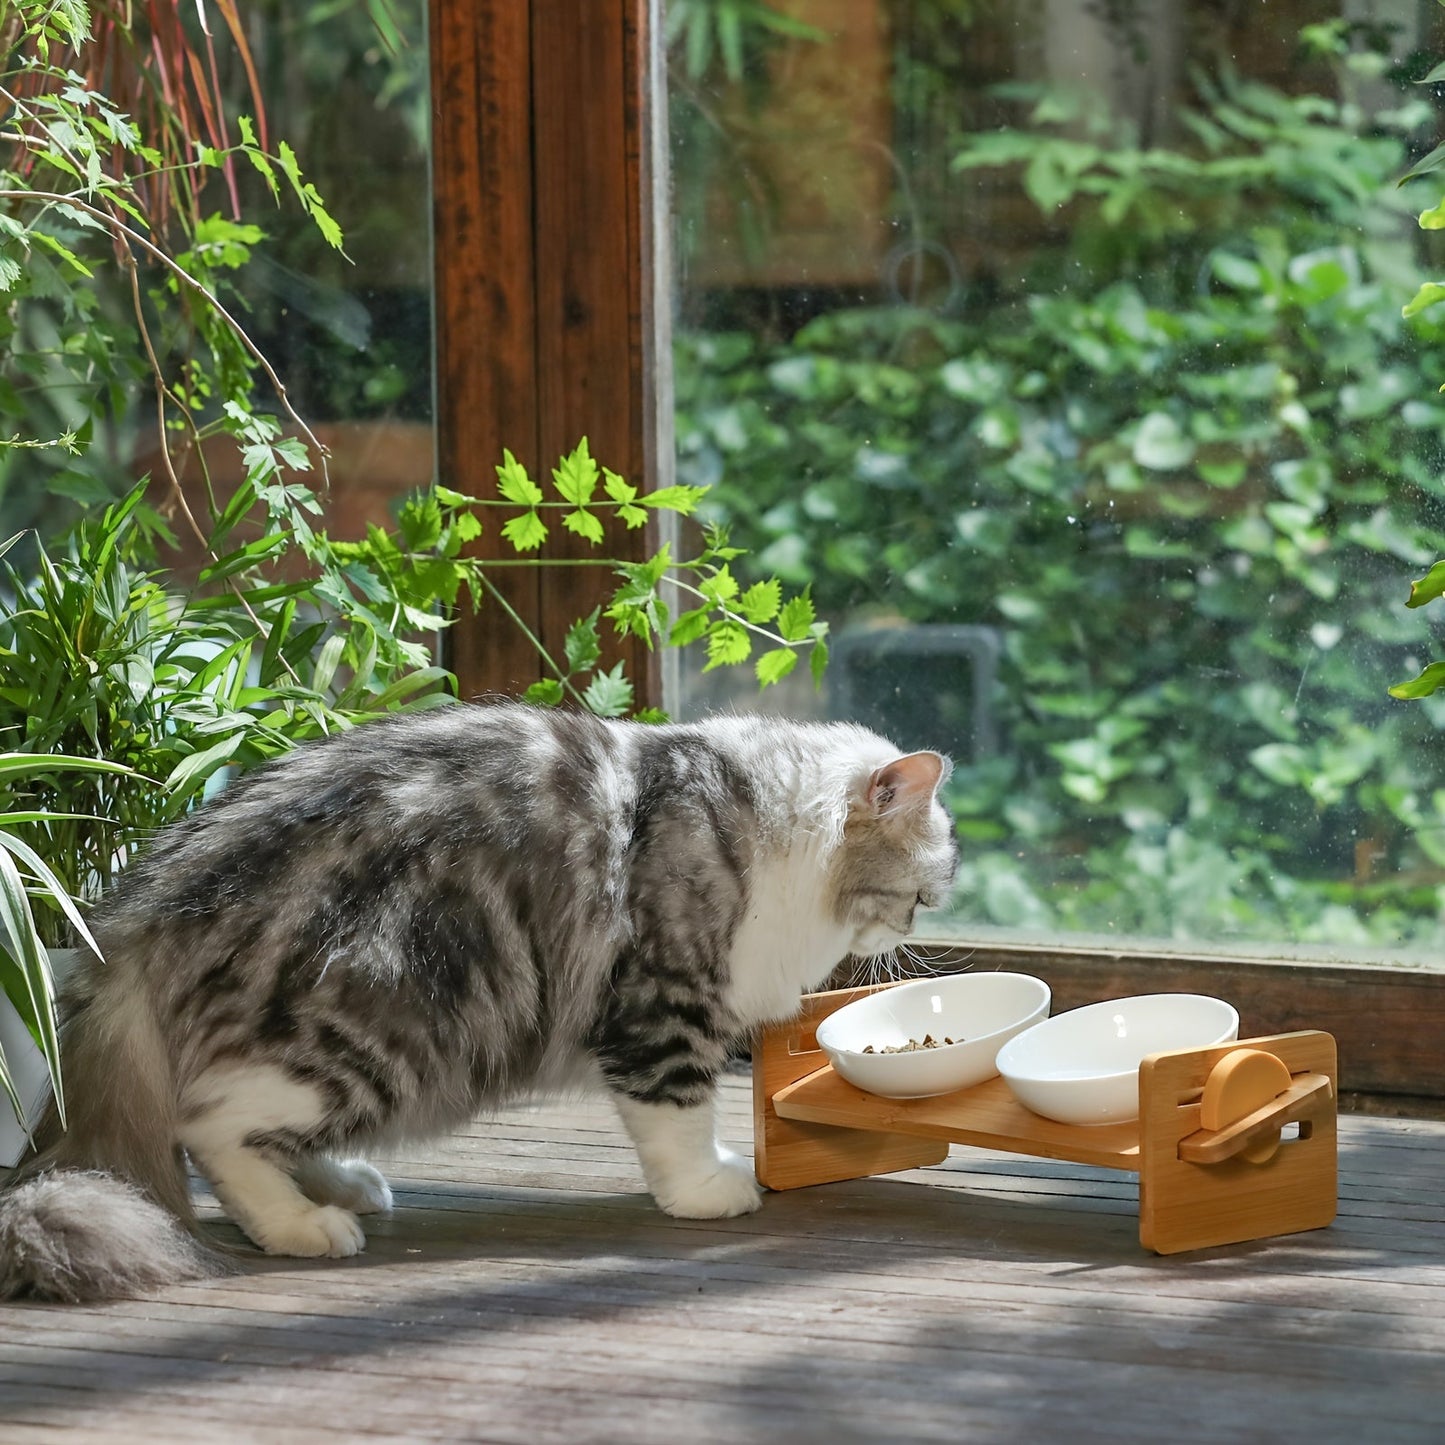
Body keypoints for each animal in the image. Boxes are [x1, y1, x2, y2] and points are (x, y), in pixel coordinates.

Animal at [0, 699, 959, 1300]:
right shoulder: (662, 1007)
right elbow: (678, 1119)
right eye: (923, 889)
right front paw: (708, 1190)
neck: (763, 825)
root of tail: (141, 908)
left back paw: (343, 1186)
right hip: (371, 1030)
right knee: (214, 1128)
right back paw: (304, 1226)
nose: (911, 931)